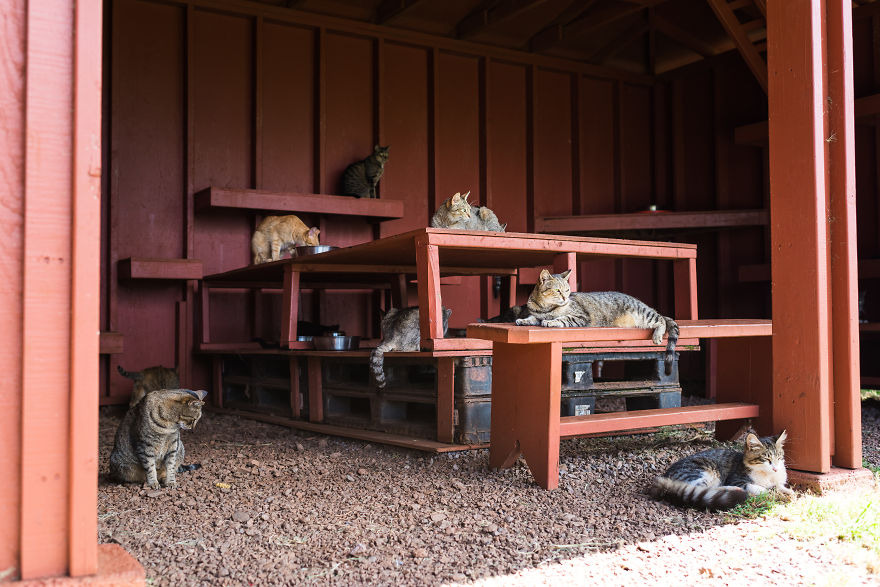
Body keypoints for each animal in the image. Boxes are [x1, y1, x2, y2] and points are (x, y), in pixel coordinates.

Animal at [516, 268, 680, 374]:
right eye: (557, 290)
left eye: (567, 290)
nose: (565, 298)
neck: (545, 308)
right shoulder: (536, 313)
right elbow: (532, 317)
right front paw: (523, 320)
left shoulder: (580, 317)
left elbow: (562, 318)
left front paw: (551, 321)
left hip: (644, 314)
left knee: (661, 320)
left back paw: (657, 335)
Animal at [648, 432, 796, 510]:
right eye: (766, 459)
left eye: (779, 457)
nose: (775, 468)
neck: (769, 476)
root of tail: (666, 479)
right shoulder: (737, 479)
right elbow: (757, 487)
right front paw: (767, 492)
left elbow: (781, 486)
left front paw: (790, 492)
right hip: (705, 472)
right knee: (704, 489)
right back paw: (734, 491)